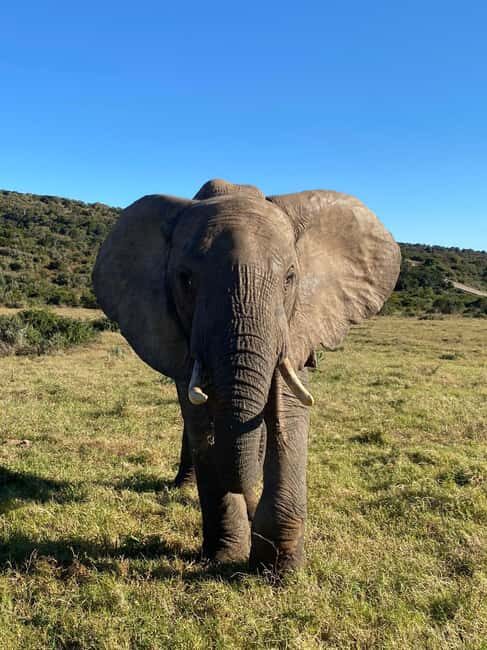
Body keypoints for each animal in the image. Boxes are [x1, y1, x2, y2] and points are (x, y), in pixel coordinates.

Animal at [92, 179, 400, 573]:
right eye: (185, 280)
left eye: (290, 278)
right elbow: (202, 423)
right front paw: (226, 557)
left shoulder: (298, 324)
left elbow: (289, 408)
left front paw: (281, 572)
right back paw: (184, 487)